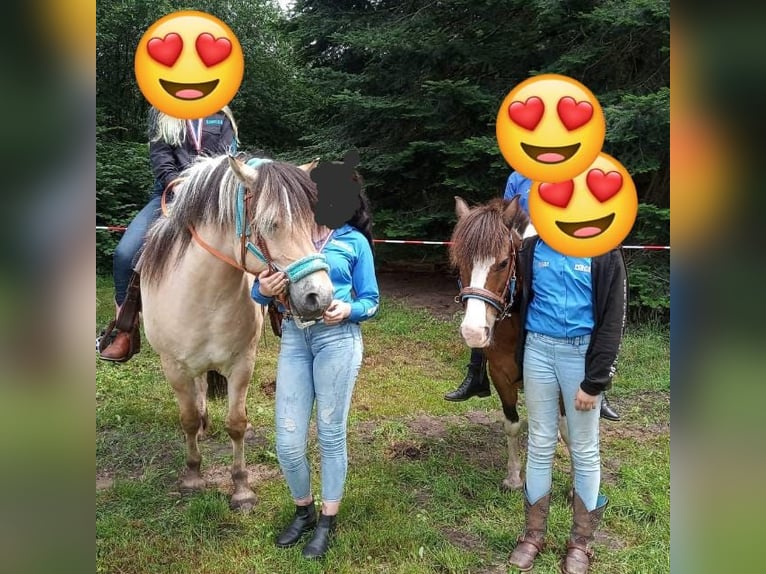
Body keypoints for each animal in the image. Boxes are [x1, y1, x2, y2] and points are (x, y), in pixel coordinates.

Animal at [138, 154, 335, 510]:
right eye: (271, 224)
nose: (320, 296)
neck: (203, 296)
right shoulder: (173, 366)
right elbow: (187, 418)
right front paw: (192, 476)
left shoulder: (242, 363)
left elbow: (236, 424)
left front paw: (241, 487)